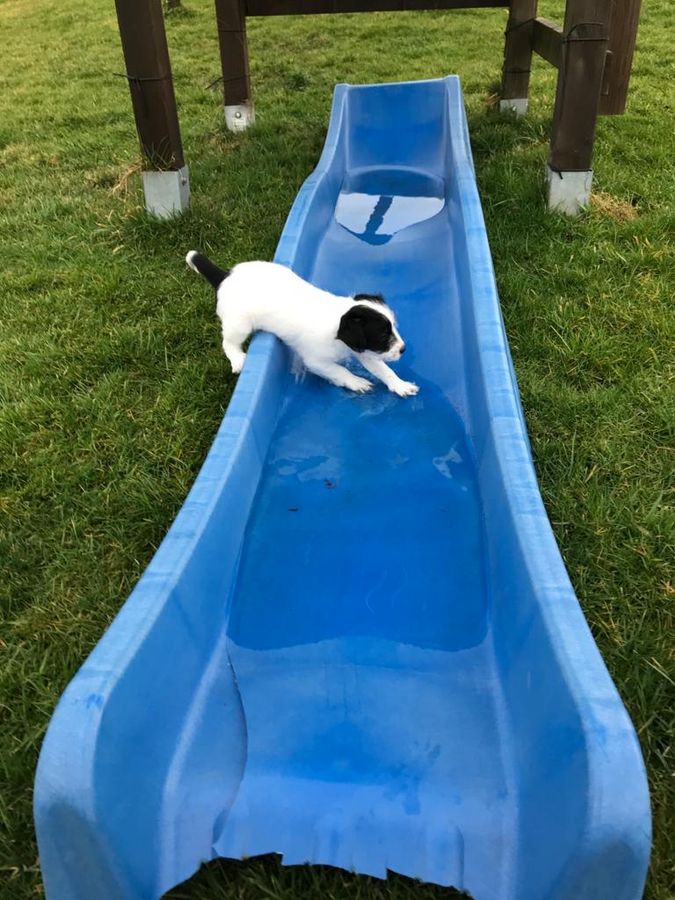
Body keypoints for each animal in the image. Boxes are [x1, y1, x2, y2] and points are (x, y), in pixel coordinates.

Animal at [186, 252, 418, 397]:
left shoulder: (362, 350)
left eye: (394, 327)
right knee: (228, 343)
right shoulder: (316, 361)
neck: (337, 321)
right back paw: (238, 359)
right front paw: (356, 382)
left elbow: (384, 370)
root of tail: (225, 277)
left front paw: (400, 385)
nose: (403, 349)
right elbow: (339, 371)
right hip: (240, 324)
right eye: (383, 335)